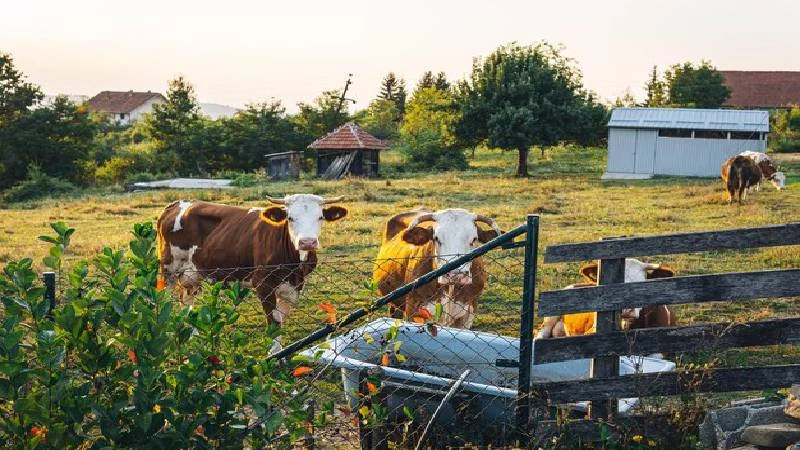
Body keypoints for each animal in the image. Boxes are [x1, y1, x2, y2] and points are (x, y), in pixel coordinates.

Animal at [155, 193, 346, 330]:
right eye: (290, 218)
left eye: (320, 217)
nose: (307, 242)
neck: (294, 266)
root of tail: (177, 203)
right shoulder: (263, 284)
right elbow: (273, 324)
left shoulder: (293, 288)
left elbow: (280, 320)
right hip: (168, 269)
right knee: (163, 301)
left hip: (193, 274)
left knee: (188, 303)